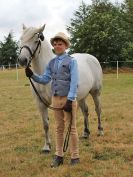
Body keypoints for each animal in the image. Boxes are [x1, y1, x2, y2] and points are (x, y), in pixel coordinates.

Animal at [18, 24, 103, 152]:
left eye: (36, 40)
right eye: (21, 39)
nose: (22, 60)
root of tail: (92, 58)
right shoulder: (40, 103)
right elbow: (45, 124)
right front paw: (47, 146)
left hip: (95, 92)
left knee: (98, 109)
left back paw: (100, 130)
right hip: (80, 97)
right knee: (85, 110)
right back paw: (86, 133)